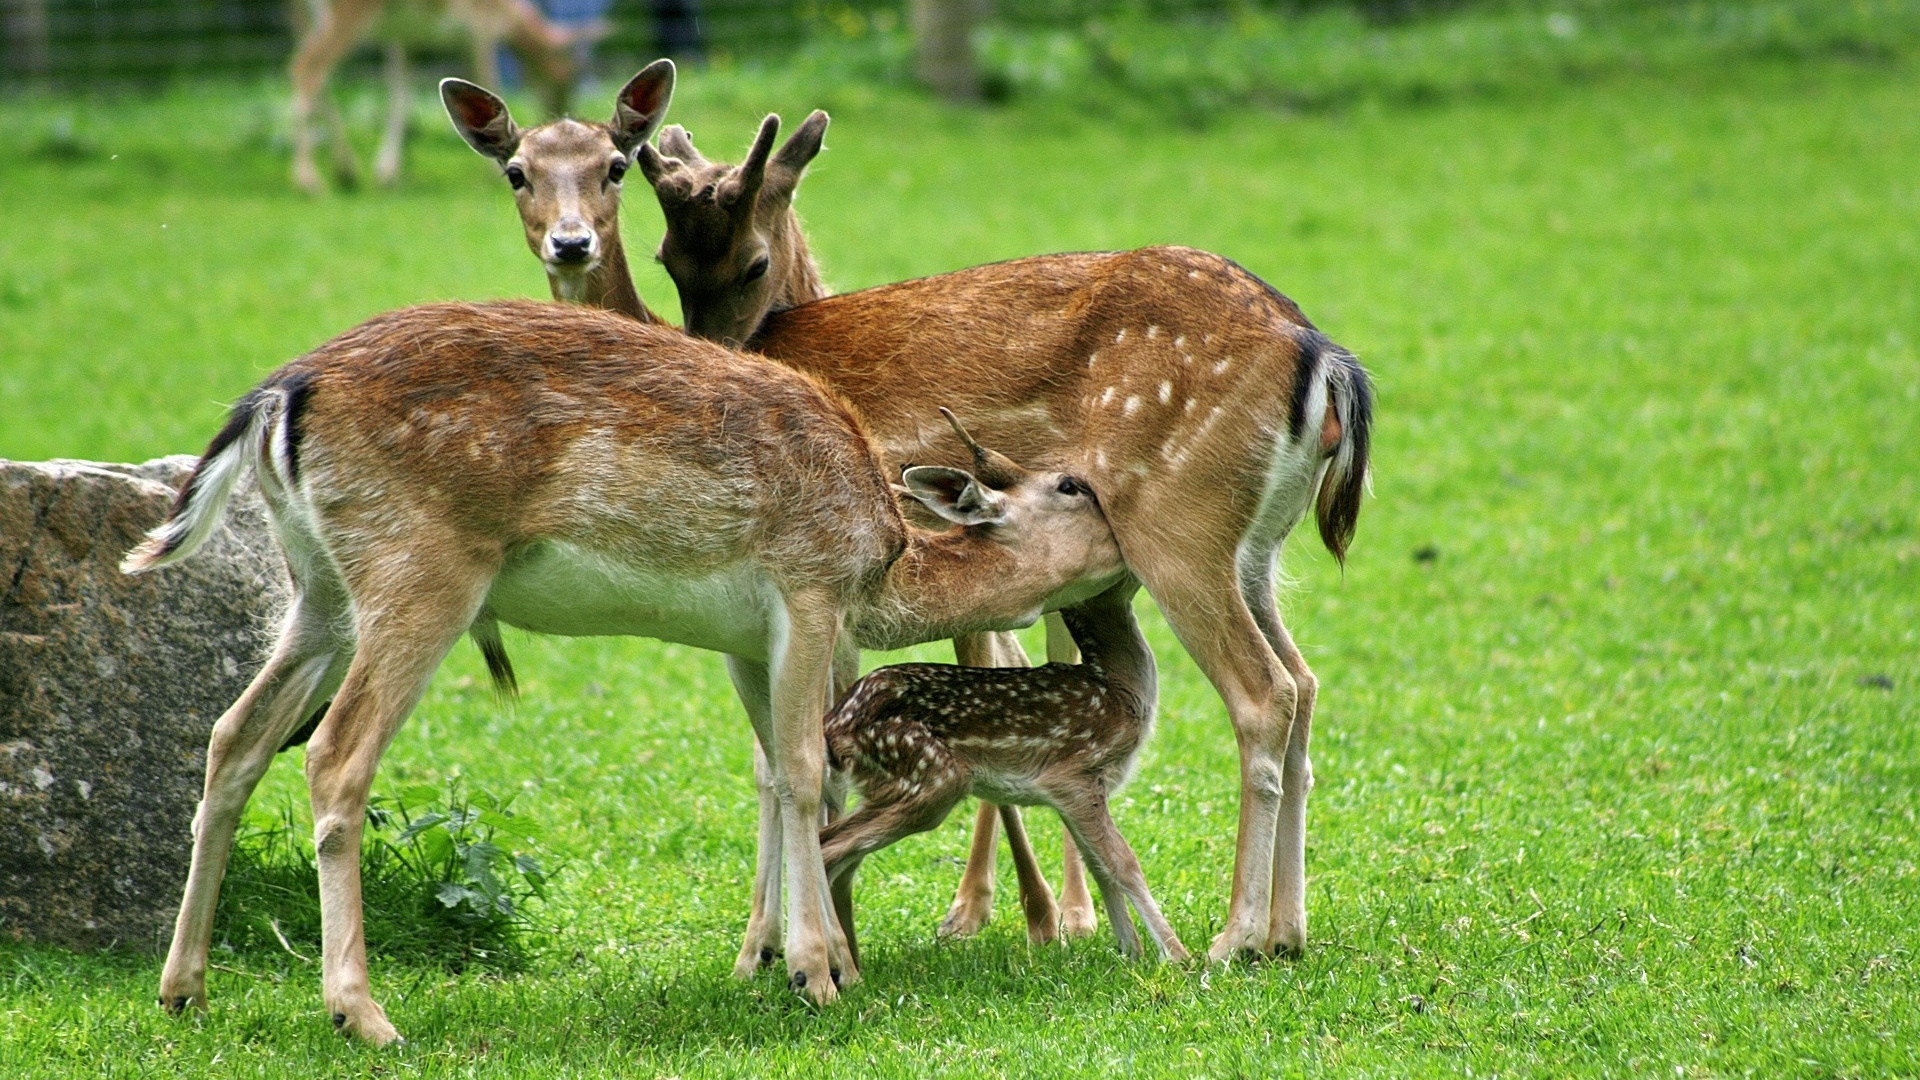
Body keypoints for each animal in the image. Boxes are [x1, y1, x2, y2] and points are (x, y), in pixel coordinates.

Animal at [121, 301, 1128, 1042]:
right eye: (1075, 486)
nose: (1134, 552)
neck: (882, 563)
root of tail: (276, 400)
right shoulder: (806, 587)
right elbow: (807, 772)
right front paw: (818, 973)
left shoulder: (748, 636)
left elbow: (777, 773)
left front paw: (792, 961)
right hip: (420, 568)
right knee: (335, 754)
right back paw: (362, 1015)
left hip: (318, 589)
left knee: (234, 734)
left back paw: (185, 990)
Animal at [290, 0, 599, 193]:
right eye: (567, 79)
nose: (561, 111)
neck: (508, 16)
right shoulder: (480, 28)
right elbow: (487, 79)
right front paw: (493, 173)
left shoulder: (406, 38)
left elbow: (400, 92)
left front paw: (388, 173)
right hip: (346, 12)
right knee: (306, 68)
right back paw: (309, 181)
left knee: (315, 75)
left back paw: (346, 172)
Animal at [440, 68, 1090, 964]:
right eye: (516, 171)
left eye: (614, 166)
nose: (571, 244)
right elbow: (770, 761)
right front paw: (765, 944)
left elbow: (816, 756)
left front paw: (825, 942)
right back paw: (985, 906)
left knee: (1025, 662)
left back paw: (1057, 910)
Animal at [821, 579, 1189, 967]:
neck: (1118, 690)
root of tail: (834, 728)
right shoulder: (1074, 772)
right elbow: (1124, 863)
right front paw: (1179, 958)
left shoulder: (1077, 794)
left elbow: (1098, 864)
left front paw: (1131, 953)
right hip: (931, 777)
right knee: (829, 850)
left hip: (892, 787)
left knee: (838, 852)